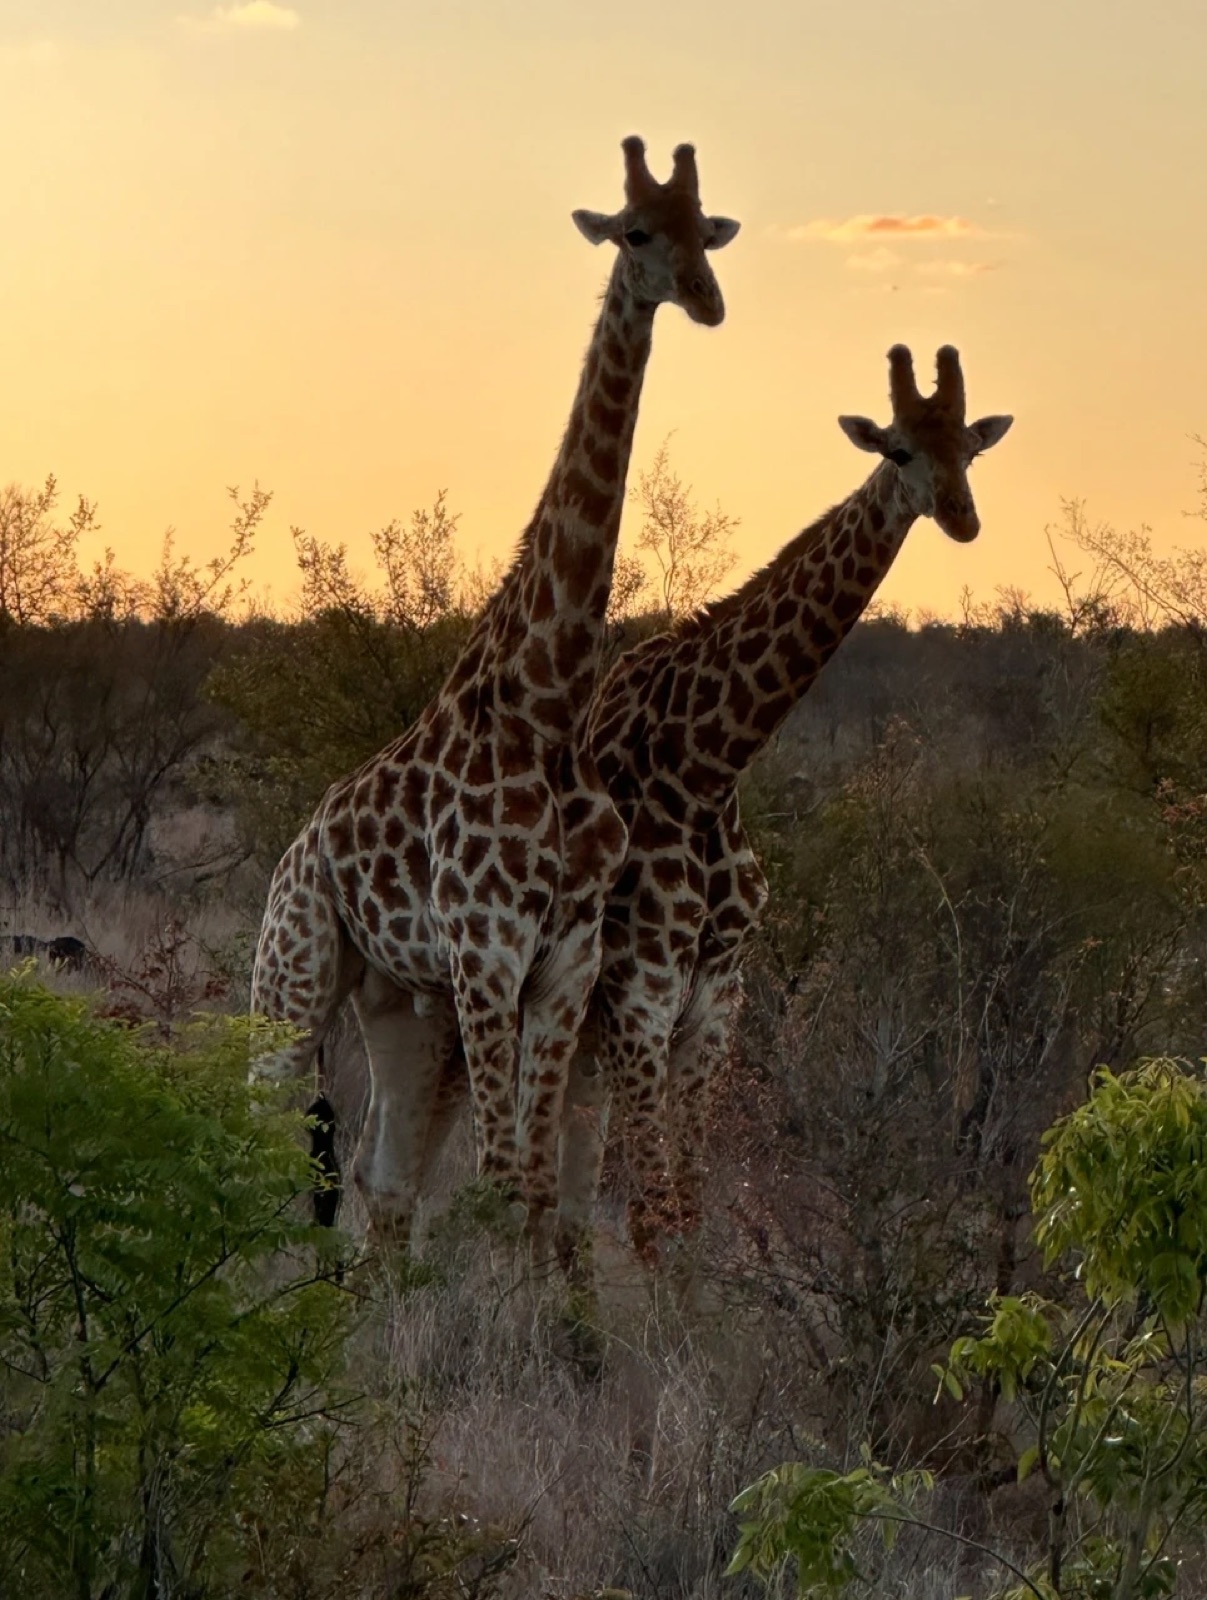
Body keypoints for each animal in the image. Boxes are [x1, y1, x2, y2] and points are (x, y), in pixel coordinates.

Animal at [250, 136, 739, 1268]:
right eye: (636, 232)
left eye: (706, 231)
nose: (704, 299)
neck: (546, 708)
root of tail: (294, 846)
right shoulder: (487, 952)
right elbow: (503, 1181)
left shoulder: (561, 964)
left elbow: (529, 1193)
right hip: (293, 973)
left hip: (399, 999)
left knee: (376, 1172)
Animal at [553, 344, 1013, 1278]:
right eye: (899, 450)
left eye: (969, 451)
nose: (961, 520)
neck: (704, 767)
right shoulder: (643, 994)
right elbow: (652, 1222)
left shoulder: (715, 1001)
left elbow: (687, 1215)